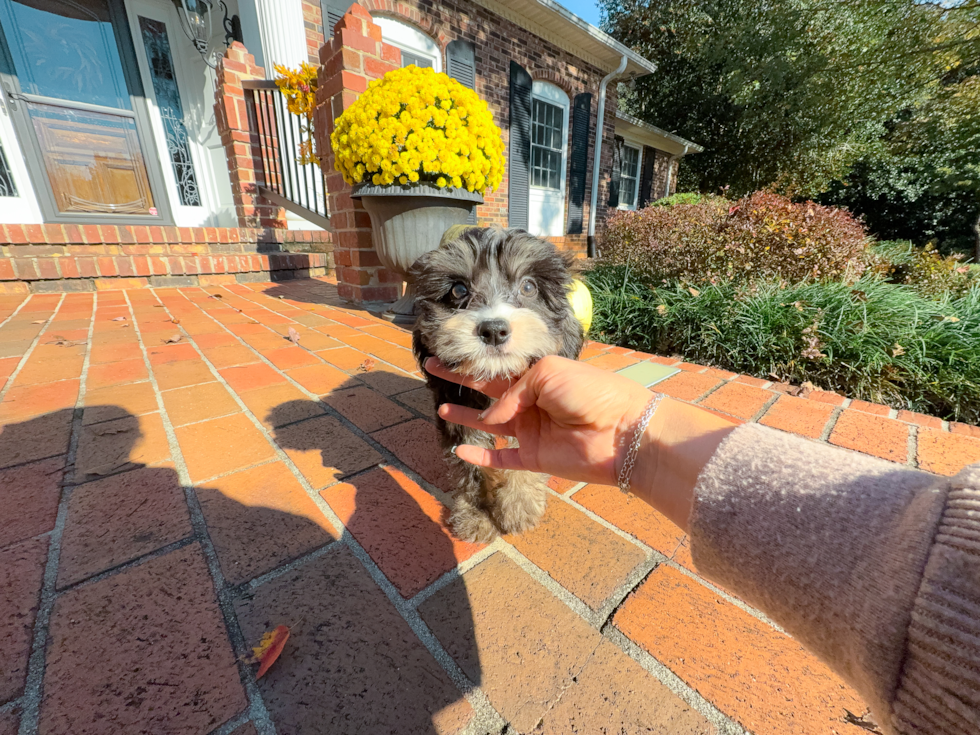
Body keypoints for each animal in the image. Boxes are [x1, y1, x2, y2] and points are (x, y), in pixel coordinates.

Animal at [412, 227, 584, 544]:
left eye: (528, 287)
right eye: (458, 291)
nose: (494, 330)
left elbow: (527, 447)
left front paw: (519, 505)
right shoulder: (457, 407)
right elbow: (470, 461)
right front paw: (476, 515)